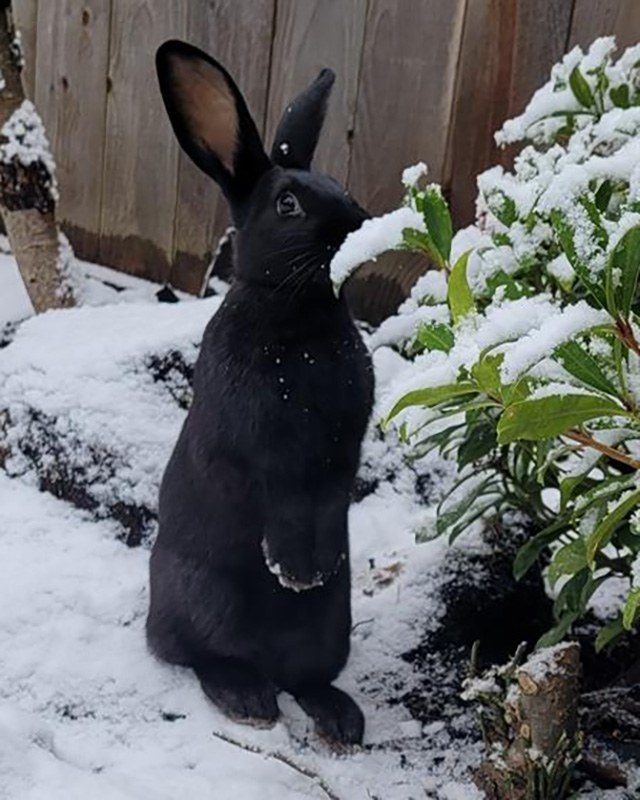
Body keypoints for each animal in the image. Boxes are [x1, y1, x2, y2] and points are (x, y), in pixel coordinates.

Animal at [146, 40, 374, 746]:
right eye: (289, 205)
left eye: (344, 189)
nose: (359, 223)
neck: (296, 313)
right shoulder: (259, 444)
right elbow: (283, 495)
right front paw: (293, 569)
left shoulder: (343, 444)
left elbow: (329, 493)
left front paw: (310, 569)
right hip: (205, 596)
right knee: (195, 654)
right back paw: (246, 698)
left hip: (330, 629)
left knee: (305, 678)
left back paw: (339, 718)